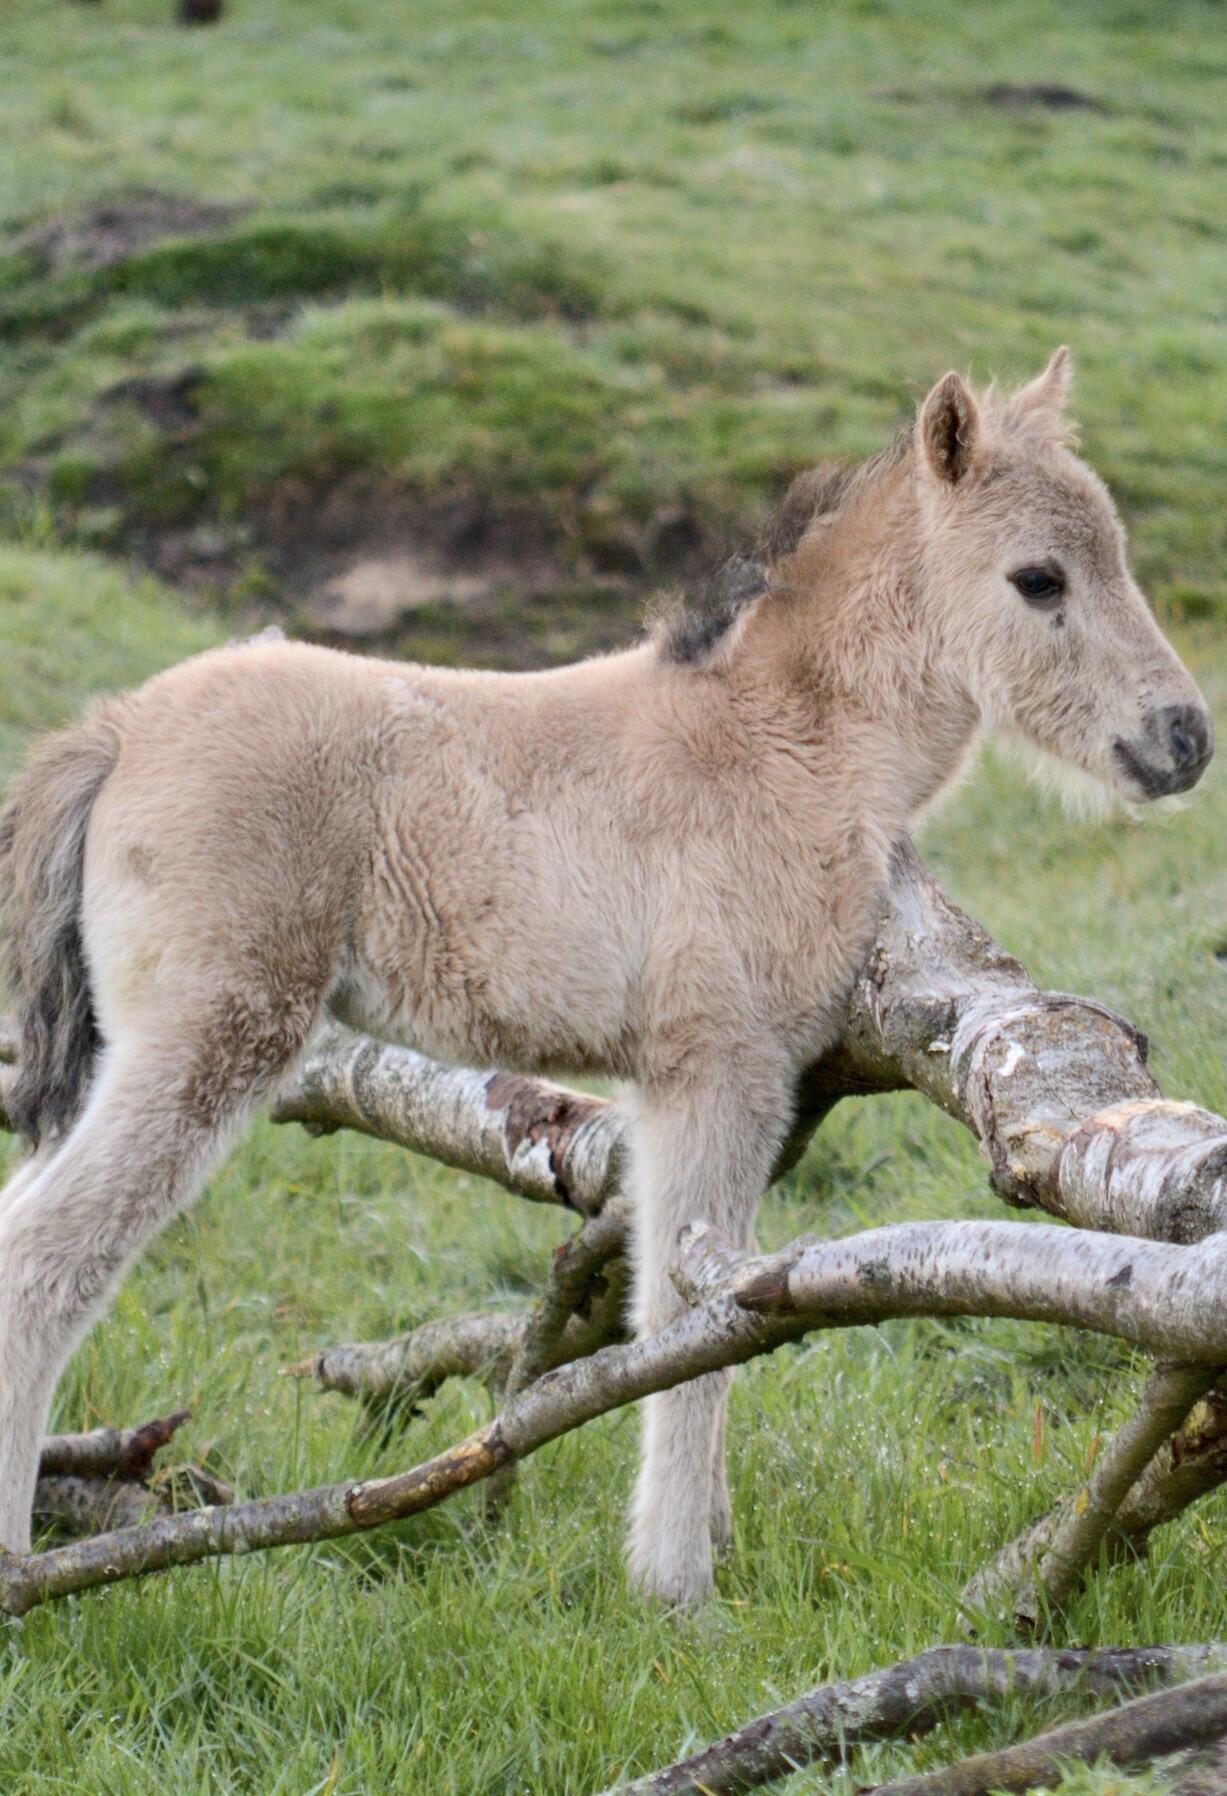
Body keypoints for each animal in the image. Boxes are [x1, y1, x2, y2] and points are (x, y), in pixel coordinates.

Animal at [0, 353, 1207, 1602]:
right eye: (1039, 578)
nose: (1183, 738)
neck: (787, 741)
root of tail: (116, 728)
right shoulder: (716, 1061)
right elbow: (685, 1312)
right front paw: (678, 1588)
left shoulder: (700, 1080)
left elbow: (705, 1288)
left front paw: (707, 1547)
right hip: (213, 1031)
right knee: (44, 1257)